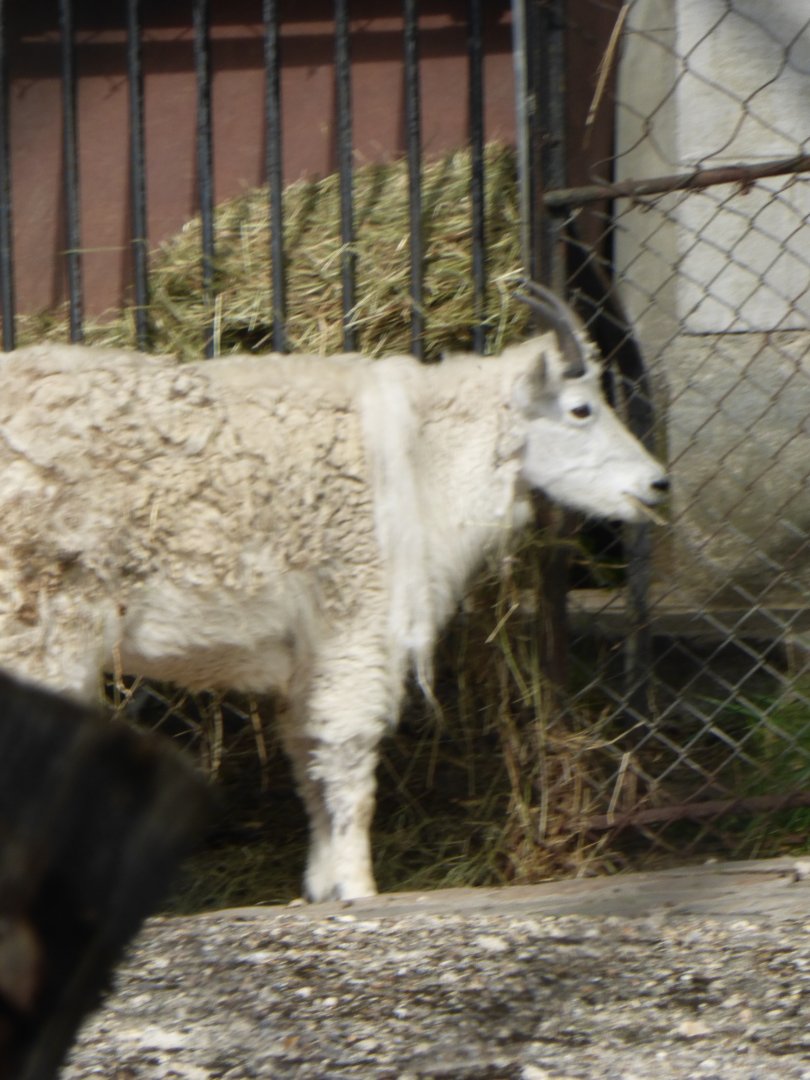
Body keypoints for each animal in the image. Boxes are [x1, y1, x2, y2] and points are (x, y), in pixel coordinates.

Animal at [0, 285, 667, 901]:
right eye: (581, 410)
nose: (656, 484)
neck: (425, 456)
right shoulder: (359, 619)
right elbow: (349, 750)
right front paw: (357, 885)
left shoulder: (310, 653)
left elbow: (309, 755)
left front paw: (321, 885)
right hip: (38, 623)